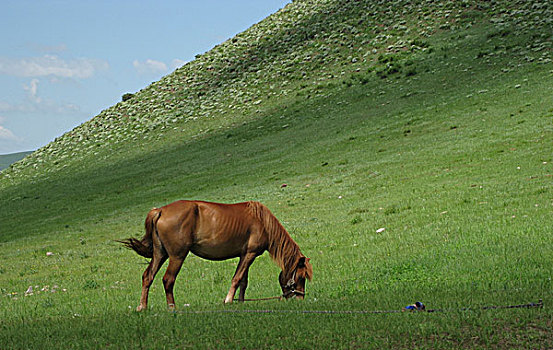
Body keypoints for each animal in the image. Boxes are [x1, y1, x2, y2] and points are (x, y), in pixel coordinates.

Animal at [119, 201, 312, 310]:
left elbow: (243, 281)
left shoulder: (244, 255)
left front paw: (241, 302)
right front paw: (228, 300)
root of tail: (160, 211)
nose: (300, 298)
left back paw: (142, 307)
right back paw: (172, 307)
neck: (262, 222)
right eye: (301, 277)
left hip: (160, 254)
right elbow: (237, 278)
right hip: (177, 256)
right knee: (168, 280)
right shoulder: (249, 254)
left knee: (148, 277)